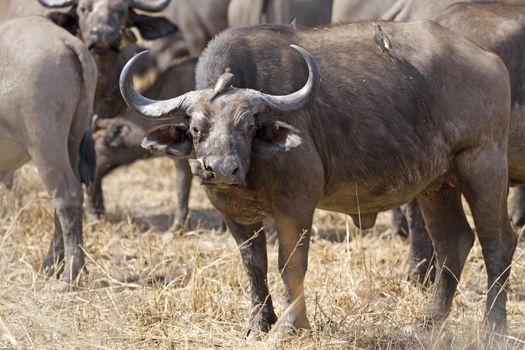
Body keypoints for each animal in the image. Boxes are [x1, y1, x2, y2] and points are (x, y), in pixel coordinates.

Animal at [0, 16, 96, 288]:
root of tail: (63, 38)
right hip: (71, 144)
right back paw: (52, 265)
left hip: (45, 145)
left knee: (67, 196)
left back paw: (70, 275)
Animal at [121, 22, 512, 336]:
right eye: (196, 129)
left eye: (247, 124)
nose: (220, 169)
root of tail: (492, 63)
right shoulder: (234, 214)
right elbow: (254, 265)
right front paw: (259, 324)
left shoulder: (297, 206)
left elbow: (290, 264)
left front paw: (293, 326)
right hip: (436, 185)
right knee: (453, 244)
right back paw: (428, 324)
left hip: (483, 166)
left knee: (497, 243)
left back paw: (493, 327)